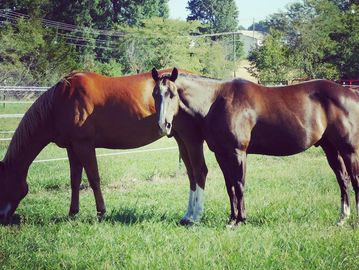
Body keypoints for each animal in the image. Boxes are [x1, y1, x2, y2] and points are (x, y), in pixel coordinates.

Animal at [0, 68, 210, 225]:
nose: (2, 218)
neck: (60, 102)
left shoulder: (84, 145)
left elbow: (94, 179)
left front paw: (101, 212)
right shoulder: (72, 147)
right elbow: (75, 180)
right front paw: (73, 212)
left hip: (188, 138)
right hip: (180, 138)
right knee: (191, 173)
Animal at [151, 67, 359, 226]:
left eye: (172, 94)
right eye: (155, 95)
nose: (164, 125)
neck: (217, 101)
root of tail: (351, 93)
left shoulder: (238, 152)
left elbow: (239, 184)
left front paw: (240, 220)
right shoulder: (221, 154)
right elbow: (230, 187)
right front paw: (231, 219)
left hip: (349, 150)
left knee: (354, 180)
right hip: (330, 148)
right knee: (343, 179)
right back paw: (342, 218)